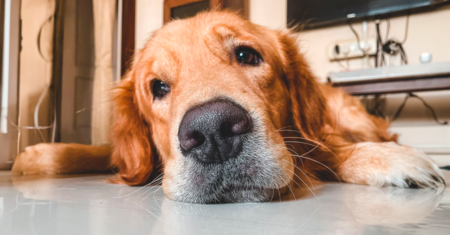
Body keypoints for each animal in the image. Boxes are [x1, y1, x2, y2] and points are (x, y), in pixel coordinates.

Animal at [11, 11, 446, 203]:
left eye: (247, 55)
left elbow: (324, 150)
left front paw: (387, 159)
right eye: (158, 87)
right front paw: (36, 156)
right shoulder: (130, 156)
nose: (213, 131)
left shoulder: (312, 139)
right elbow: (103, 152)